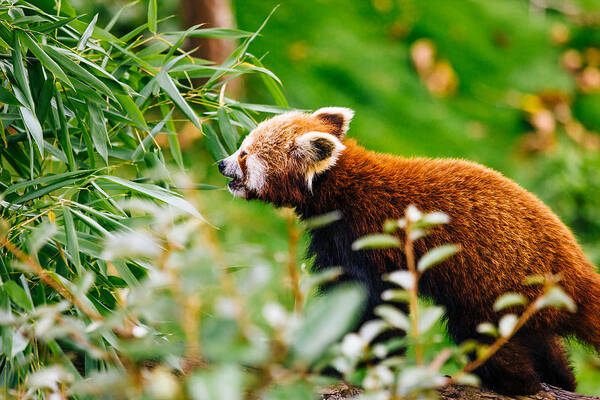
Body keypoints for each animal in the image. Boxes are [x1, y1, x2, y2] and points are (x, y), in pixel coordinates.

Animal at [217, 106, 600, 394]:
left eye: (245, 154)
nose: (221, 164)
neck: (339, 189)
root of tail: (577, 267)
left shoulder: (367, 238)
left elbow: (373, 309)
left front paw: (334, 361)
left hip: (497, 284)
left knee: (483, 333)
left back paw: (513, 381)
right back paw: (560, 379)